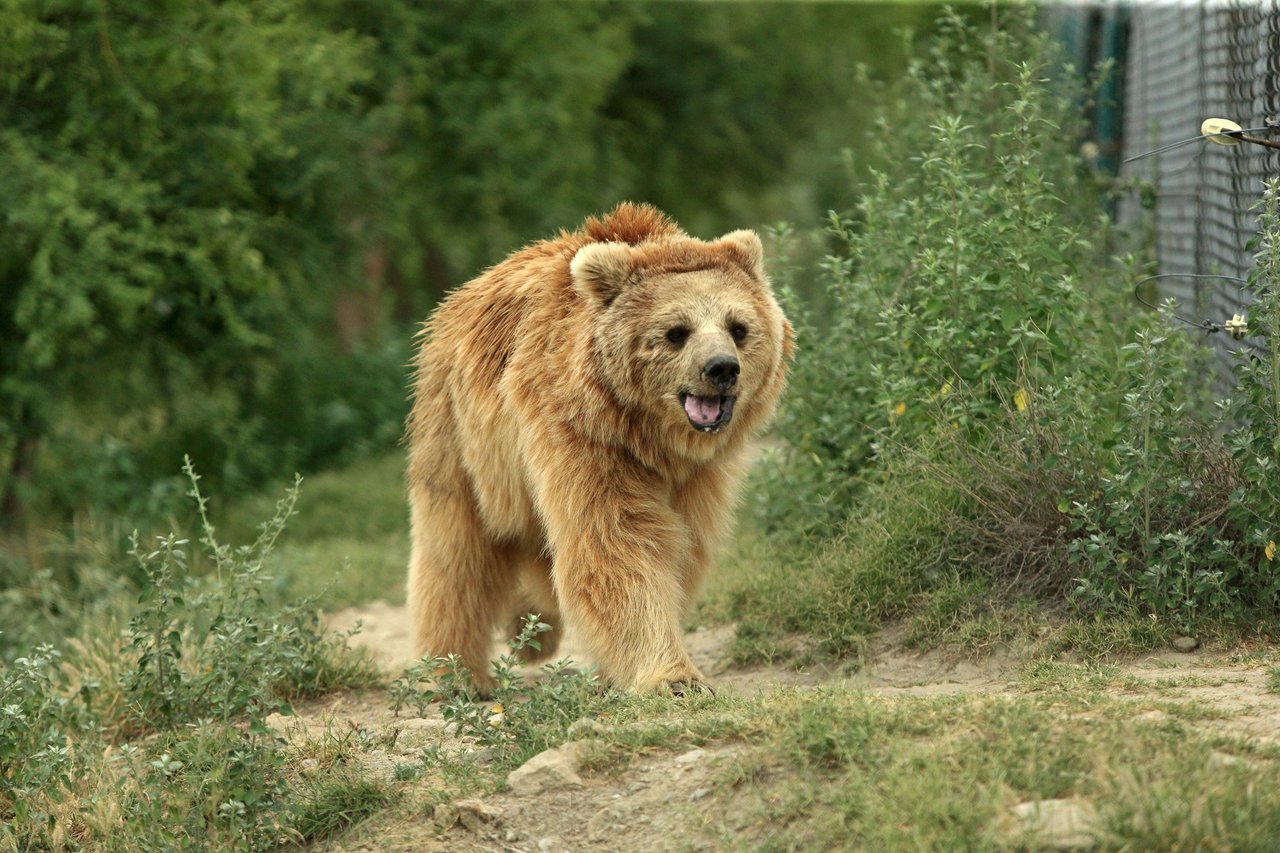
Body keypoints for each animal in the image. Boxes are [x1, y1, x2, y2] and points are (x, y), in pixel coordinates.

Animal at [407, 204, 788, 691]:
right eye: (676, 331)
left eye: (738, 327)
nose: (721, 368)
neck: (652, 438)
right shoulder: (582, 438)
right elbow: (615, 543)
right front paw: (672, 676)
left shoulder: (699, 477)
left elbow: (682, 548)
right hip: (461, 437)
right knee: (457, 553)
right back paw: (454, 671)